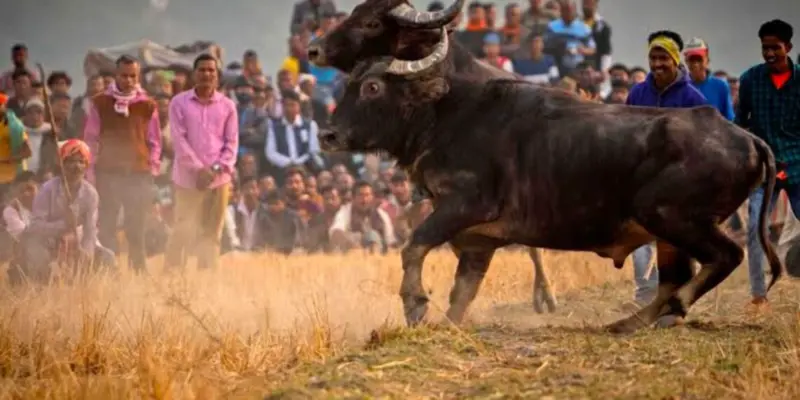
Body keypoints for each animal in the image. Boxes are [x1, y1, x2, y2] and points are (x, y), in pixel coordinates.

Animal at [317, 29, 782, 334]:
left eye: (373, 86)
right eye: (351, 83)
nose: (327, 135)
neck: (446, 115)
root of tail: (744, 137)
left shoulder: (464, 206)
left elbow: (413, 245)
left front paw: (415, 306)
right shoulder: (478, 240)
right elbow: (462, 291)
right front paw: (446, 325)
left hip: (670, 216)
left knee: (724, 257)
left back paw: (672, 308)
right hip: (667, 229)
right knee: (675, 275)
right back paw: (629, 322)